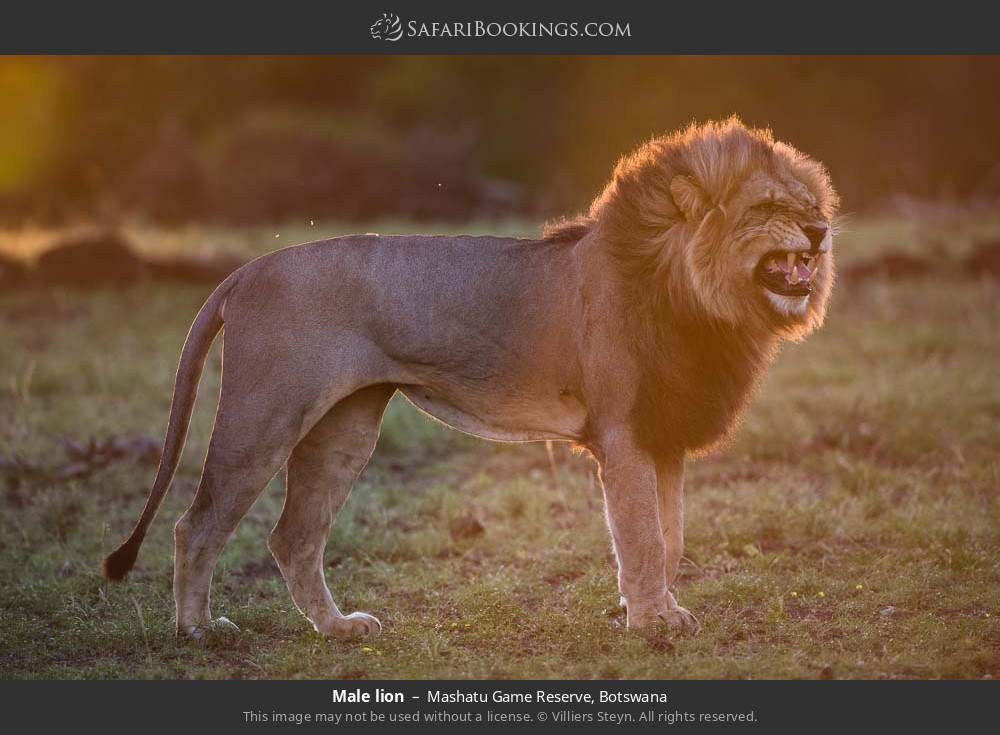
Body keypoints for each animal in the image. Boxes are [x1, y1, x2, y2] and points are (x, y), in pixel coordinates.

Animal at [101, 119, 836, 640]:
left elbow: (671, 533)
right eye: (767, 206)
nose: (822, 230)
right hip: (265, 414)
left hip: (344, 428)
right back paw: (198, 629)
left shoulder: (664, 433)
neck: (704, 302)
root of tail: (246, 270)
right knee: (196, 523)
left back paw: (339, 629)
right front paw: (654, 621)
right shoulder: (624, 434)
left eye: (810, 201)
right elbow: (644, 535)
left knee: (293, 537)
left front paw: (651, 607)